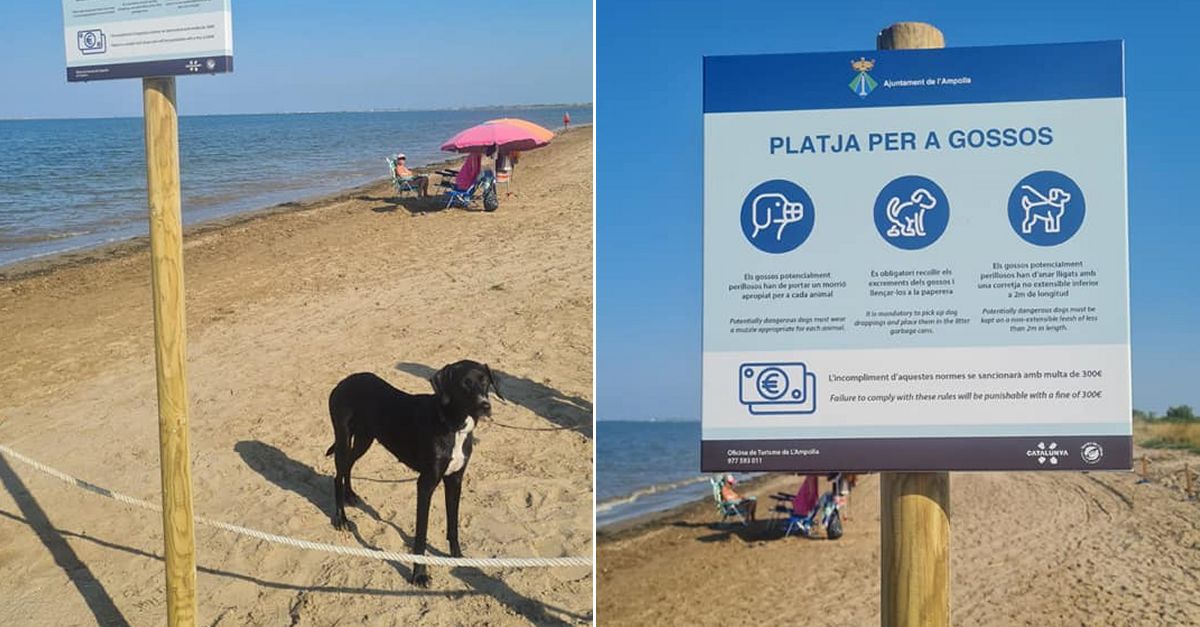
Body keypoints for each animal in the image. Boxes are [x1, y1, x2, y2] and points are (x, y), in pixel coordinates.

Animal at [324, 357, 501, 583]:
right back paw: (341, 518)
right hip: (344, 438)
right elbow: (421, 534)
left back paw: (350, 495)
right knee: (337, 474)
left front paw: (457, 557)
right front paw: (419, 574)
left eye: (485, 381)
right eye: (465, 383)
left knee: (348, 466)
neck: (452, 425)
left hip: (365, 439)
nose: (485, 406)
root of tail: (344, 381)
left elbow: (453, 524)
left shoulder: (455, 480)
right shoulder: (425, 485)